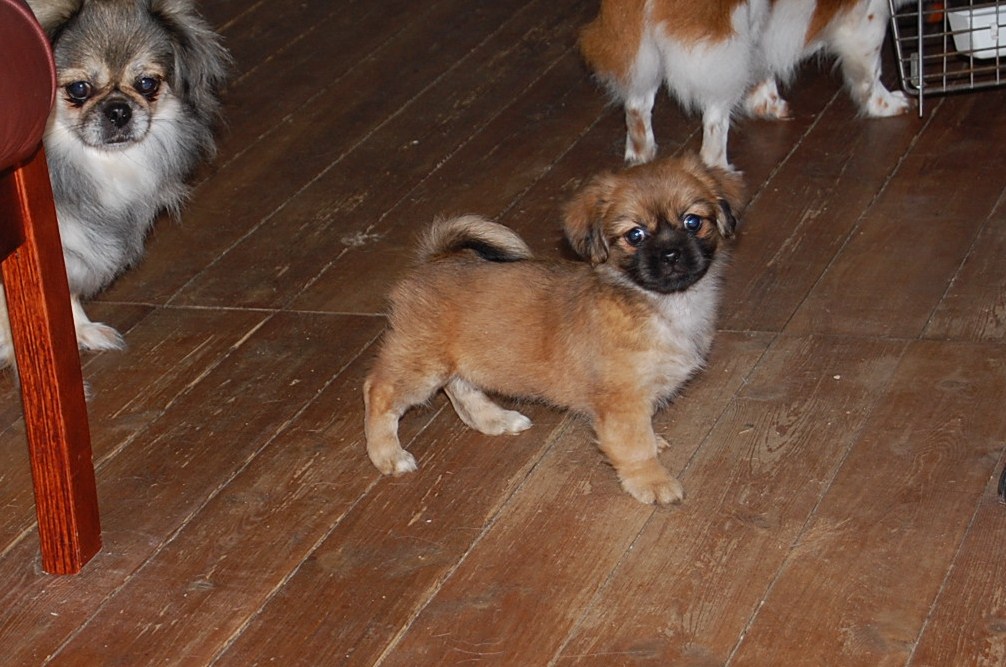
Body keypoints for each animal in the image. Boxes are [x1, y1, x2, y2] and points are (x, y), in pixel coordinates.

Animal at [363, 155, 744, 505]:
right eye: (634, 235)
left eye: (693, 222)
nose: (670, 254)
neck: (660, 306)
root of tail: (434, 259)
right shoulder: (622, 402)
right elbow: (634, 447)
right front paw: (653, 482)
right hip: (420, 365)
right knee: (378, 391)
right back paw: (388, 456)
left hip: (455, 360)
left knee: (461, 390)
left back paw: (496, 420)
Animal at [579, 0, 911, 169]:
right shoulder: (871, 15)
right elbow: (871, 71)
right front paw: (886, 105)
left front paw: (767, 103)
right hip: (722, 49)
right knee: (713, 127)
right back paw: (720, 169)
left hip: (637, 44)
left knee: (637, 105)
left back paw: (641, 153)